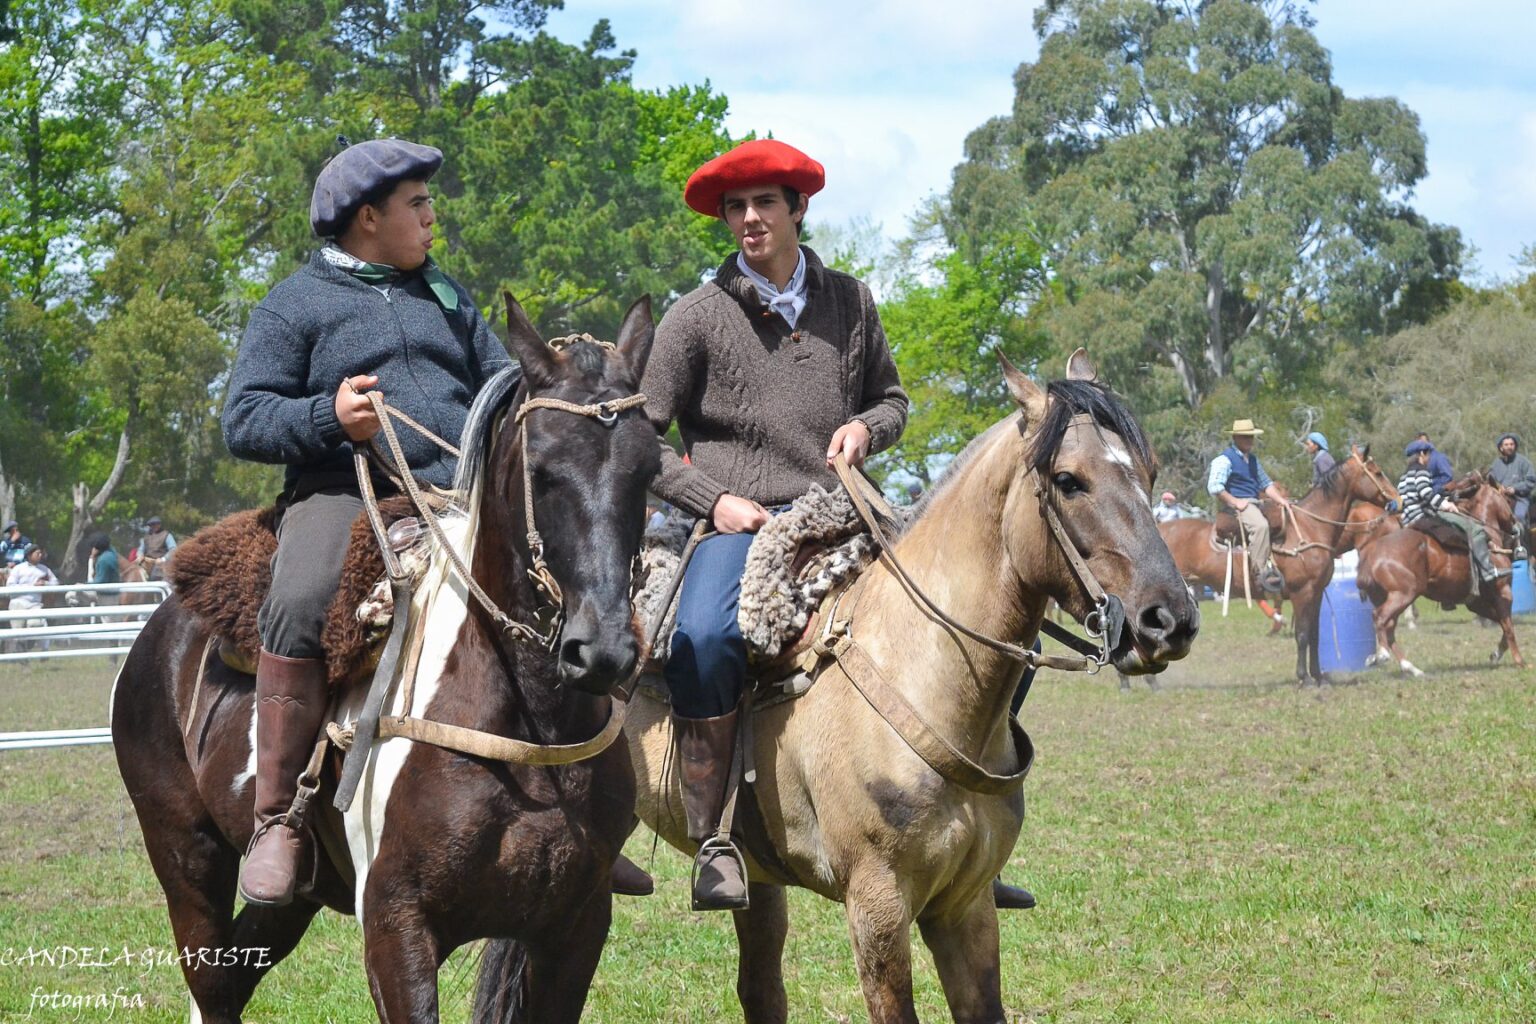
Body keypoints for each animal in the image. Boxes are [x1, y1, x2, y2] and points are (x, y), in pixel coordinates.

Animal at [108, 291, 657, 1019]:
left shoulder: (576, 927)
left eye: (648, 470)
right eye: (541, 470)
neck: (526, 728)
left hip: (292, 900)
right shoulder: (398, 928)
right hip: (184, 857)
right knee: (210, 977)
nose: (601, 650)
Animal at [491, 353, 1198, 1024]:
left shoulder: (968, 907)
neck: (920, 670)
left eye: (1149, 472)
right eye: (1069, 480)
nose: (1170, 620)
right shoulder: (877, 904)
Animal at [1357, 475, 1523, 681]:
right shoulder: (1503, 591)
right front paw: (1519, 661)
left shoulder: (1475, 602)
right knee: (1379, 618)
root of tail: (1370, 554)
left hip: (1387, 597)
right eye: (1507, 499)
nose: (1516, 524)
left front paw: (1495, 655)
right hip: (1403, 595)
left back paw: (1411, 668)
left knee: (1389, 628)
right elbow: (1508, 625)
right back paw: (1381, 655)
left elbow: (1502, 622)